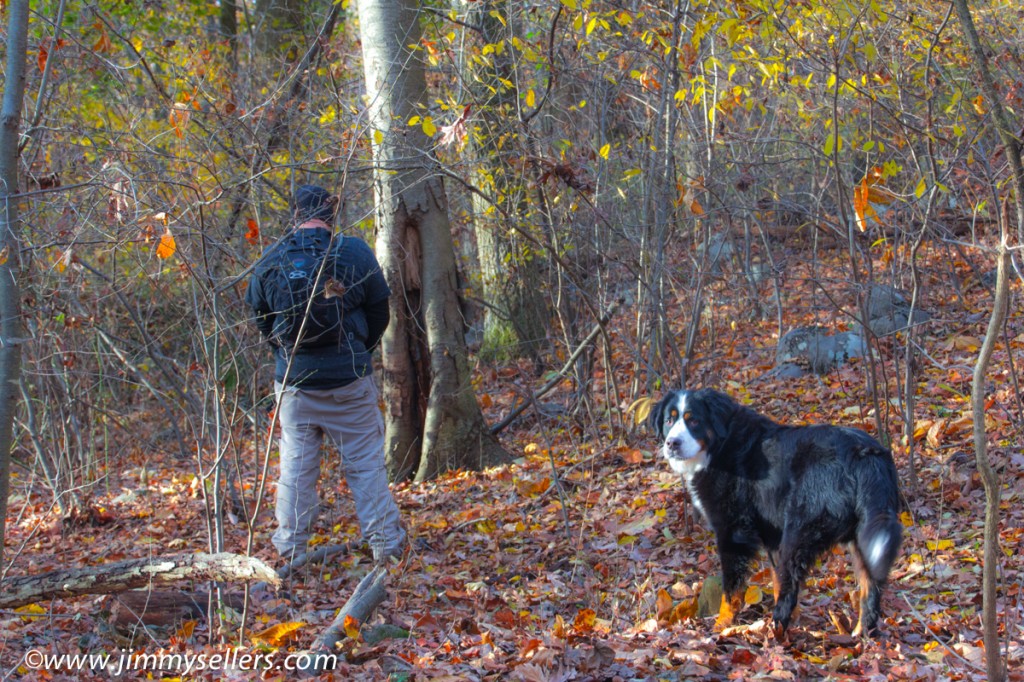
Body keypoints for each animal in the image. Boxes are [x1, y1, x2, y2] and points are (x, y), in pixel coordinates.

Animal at [651, 387, 901, 638]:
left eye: (694, 420)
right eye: (669, 420)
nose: (672, 443)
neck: (719, 446)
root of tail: (864, 453)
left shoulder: (732, 530)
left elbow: (732, 589)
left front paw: (721, 625)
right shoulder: (772, 535)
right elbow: (776, 580)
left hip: (800, 531)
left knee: (791, 586)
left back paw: (774, 630)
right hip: (861, 539)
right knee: (871, 589)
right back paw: (861, 634)